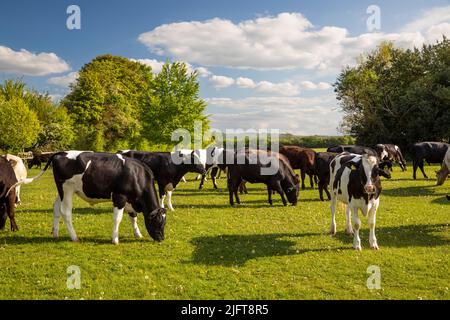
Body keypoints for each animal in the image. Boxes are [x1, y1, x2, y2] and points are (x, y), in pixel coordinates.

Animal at [9, 151, 167, 244]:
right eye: (158, 222)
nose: (161, 238)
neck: (136, 175)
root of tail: (61, 152)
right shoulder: (119, 197)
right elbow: (118, 219)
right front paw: (115, 239)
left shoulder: (130, 200)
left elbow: (133, 217)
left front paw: (137, 233)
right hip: (67, 189)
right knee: (65, 212)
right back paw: (74, 237)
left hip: (61, 191)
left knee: (56, 208)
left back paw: (55, 233)